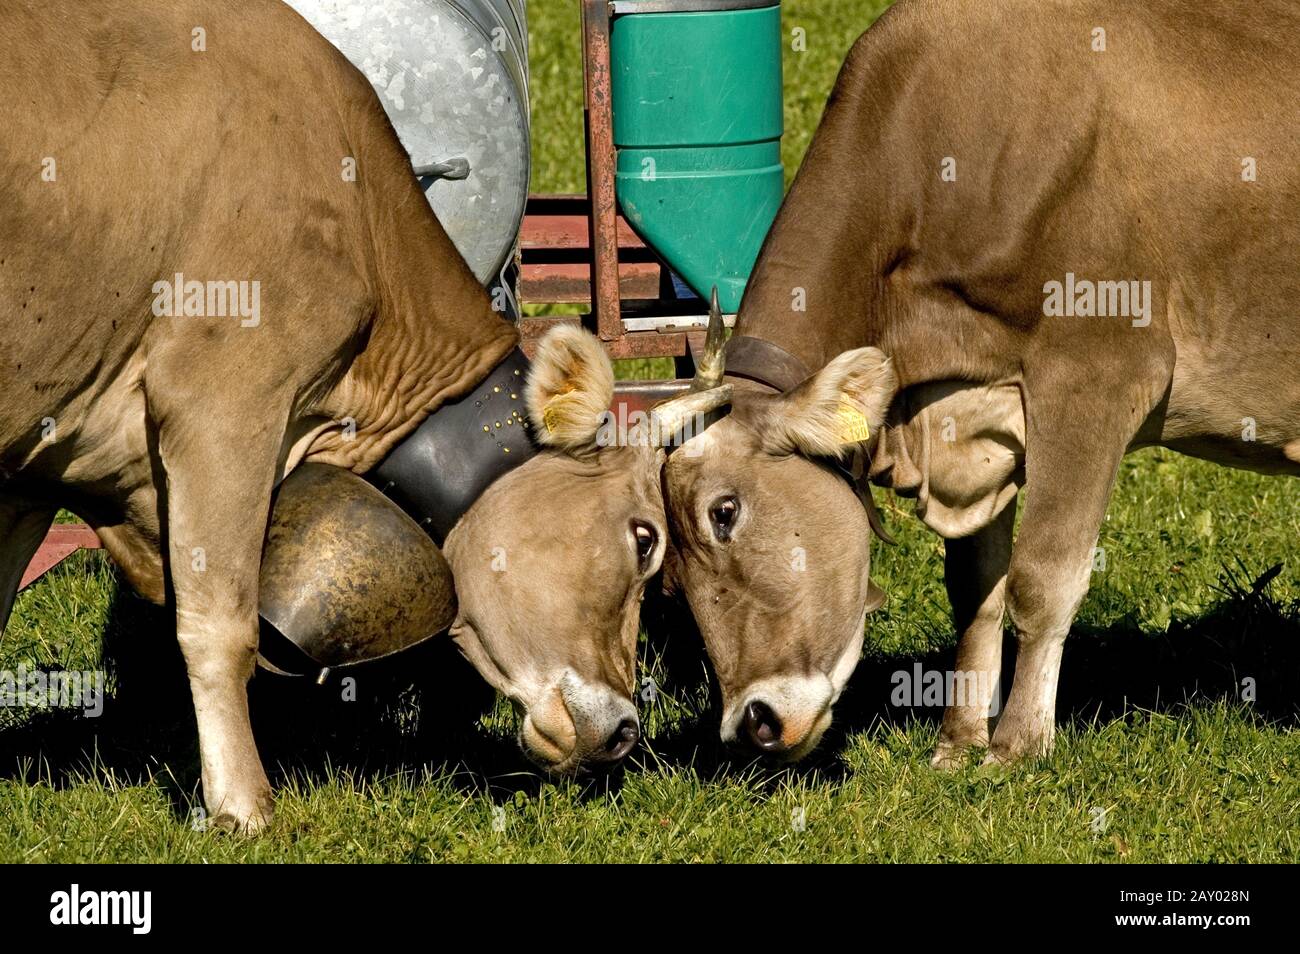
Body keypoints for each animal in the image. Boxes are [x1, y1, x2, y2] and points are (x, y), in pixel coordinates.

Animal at [0, 0, 723, 831]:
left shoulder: (33, 461)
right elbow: (220, 623)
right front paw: (244, 808)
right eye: (644, 538)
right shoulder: (224, 404)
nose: (625, 731)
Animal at [660, 0, 1299, 766]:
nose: (752, 723)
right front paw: (959, 741)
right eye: (665, 577)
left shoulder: (1098, 374)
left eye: (723, 512)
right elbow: (975, 590)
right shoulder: (969, 408)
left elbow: (1042, 578)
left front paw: (1019, 745)